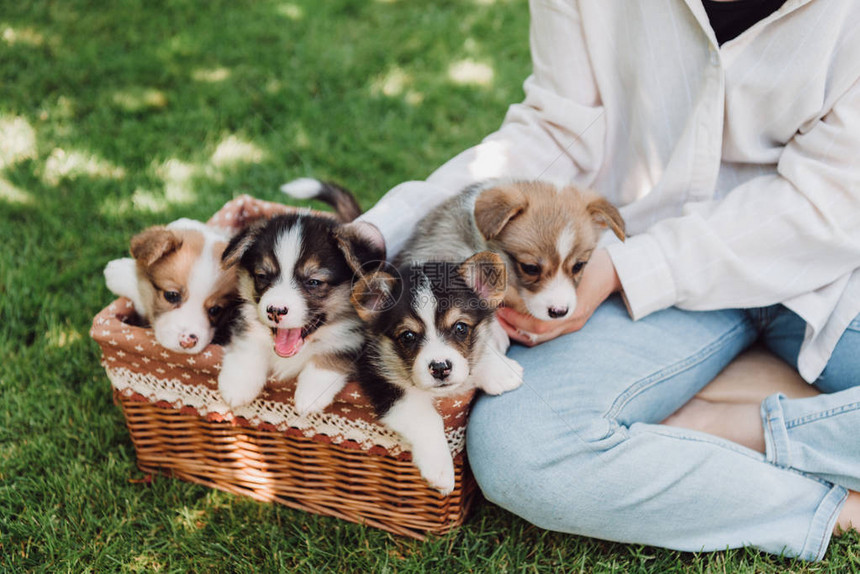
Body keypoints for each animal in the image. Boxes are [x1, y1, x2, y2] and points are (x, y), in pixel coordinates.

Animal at [348, 252, 520, 496]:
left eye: (460, 328)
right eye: (408, 336)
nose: (440, 367)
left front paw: (500, 371)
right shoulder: (380, 379)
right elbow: (427, 418)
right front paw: (440, 469)